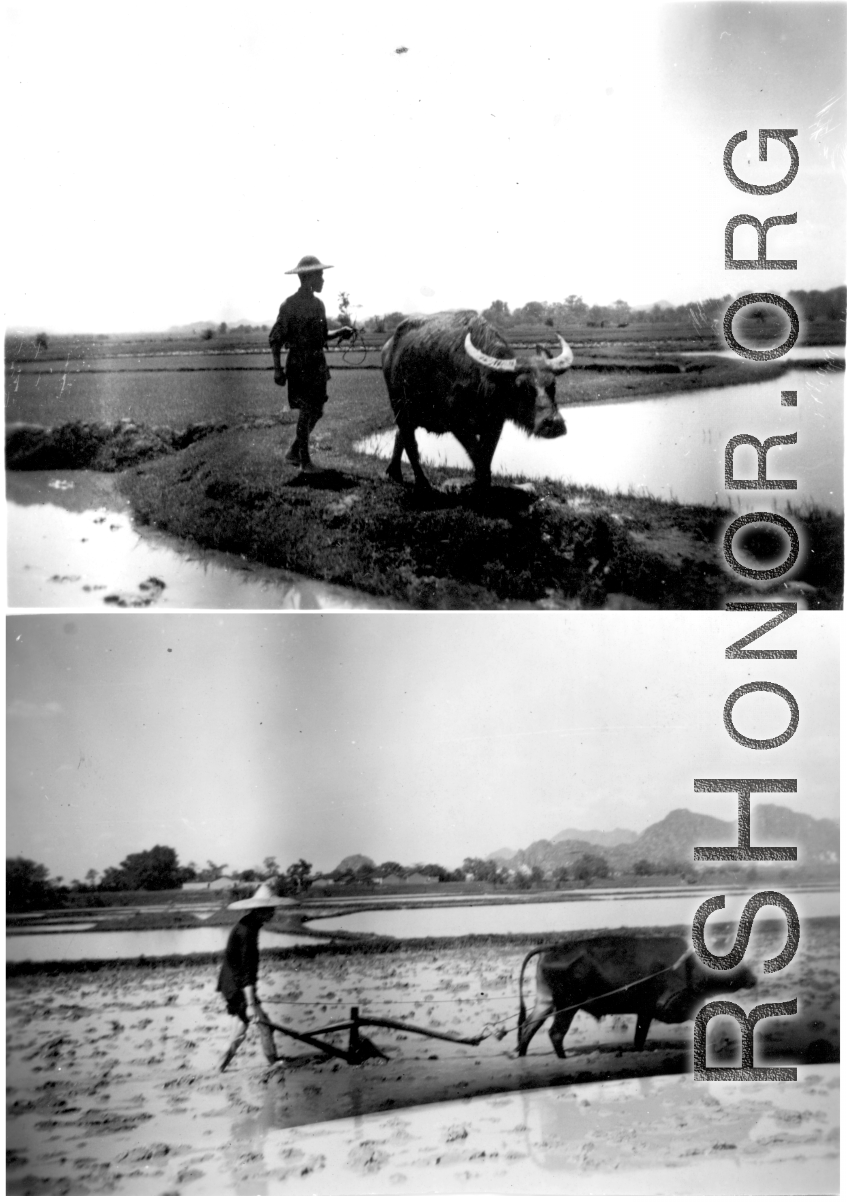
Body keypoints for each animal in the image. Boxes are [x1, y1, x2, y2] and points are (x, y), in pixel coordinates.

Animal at [382, 317, 567, 495]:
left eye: (553, 385)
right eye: (523, 388)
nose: (554, 423)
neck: (484, 381)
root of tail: (388, 348)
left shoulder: (495, 424)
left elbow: (486, 455)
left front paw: (481, 484)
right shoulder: (458, 425)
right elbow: (477, 456)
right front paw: (479, 485)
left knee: (400, 435)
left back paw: (394, 472)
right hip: (399, 407)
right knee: (411, 444)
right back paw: (423, 484)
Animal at [519, 932, 754, 1057]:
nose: (753, 978)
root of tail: (552, 948)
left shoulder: (645, 1011)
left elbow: (639, 1039)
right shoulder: (668, 1006)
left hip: (546, 1002)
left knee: (527, 1029)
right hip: (568, 1006)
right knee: (555, 1033)